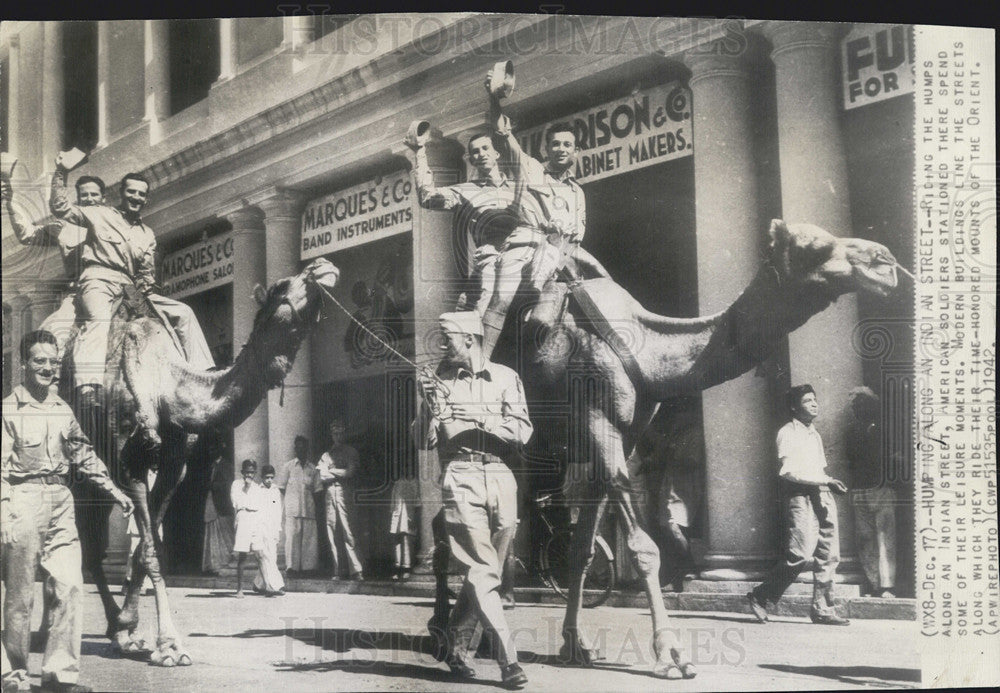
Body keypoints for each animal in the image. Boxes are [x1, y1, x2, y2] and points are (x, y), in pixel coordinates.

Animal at [66, 255, 342, 664]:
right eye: (282, 285)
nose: (321, 265)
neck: (166, 385)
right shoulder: (128, 464)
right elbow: (150, 549)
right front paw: (169, 645)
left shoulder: (172, 465)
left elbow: (147, 549)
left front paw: (130, 628)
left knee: (91, 543)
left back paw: (117, 629)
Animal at [496, 220, 904, 676]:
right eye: (811, 246)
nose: (886, 261)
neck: (649, 349)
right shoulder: (597, 416)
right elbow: (644, 549)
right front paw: (672, 653)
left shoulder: (618, 434)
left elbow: (582, 549)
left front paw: (577, 645)